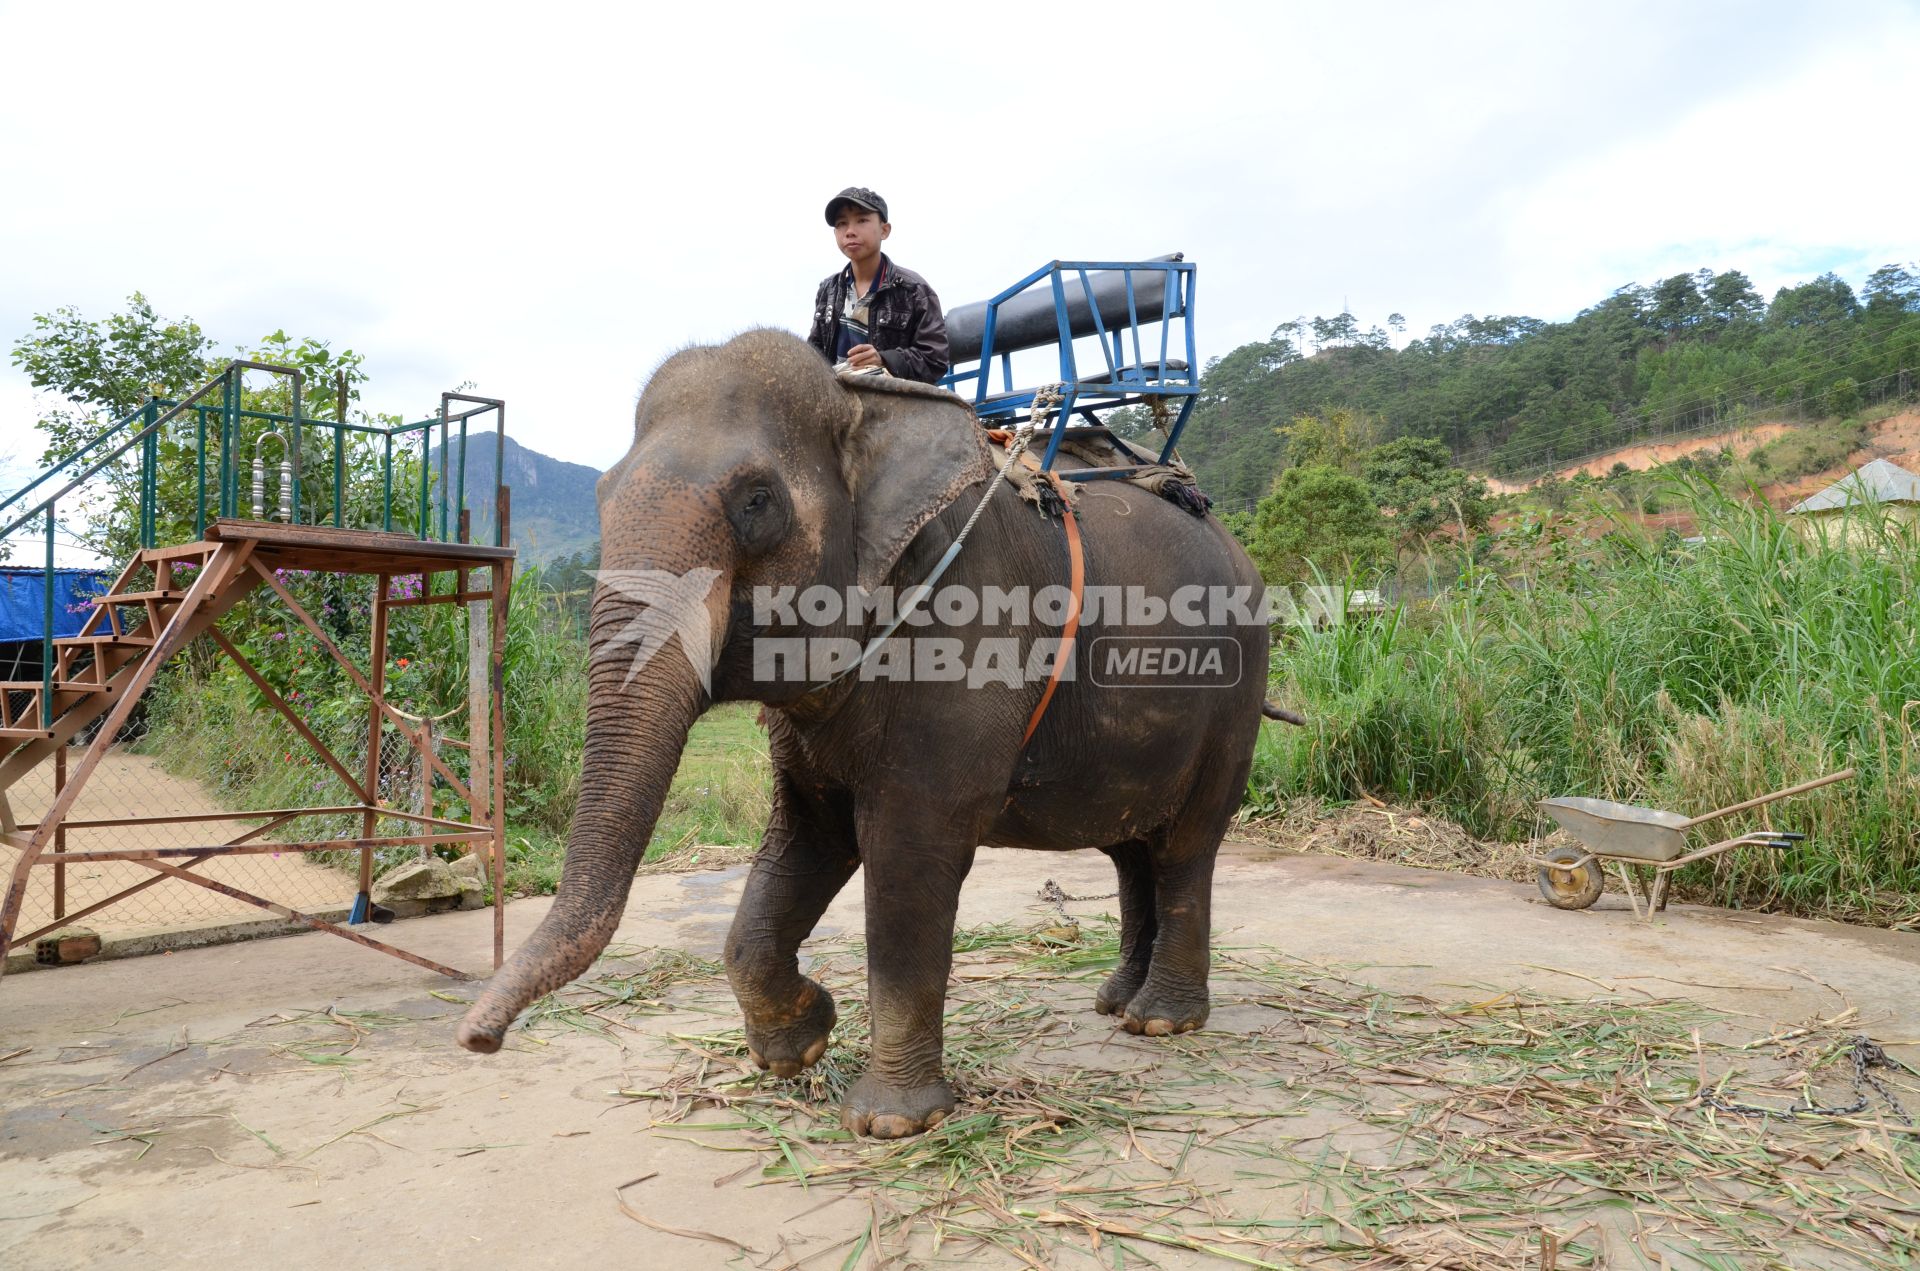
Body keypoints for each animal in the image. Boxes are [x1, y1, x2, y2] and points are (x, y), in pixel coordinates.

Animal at [453, 330, 1274, 1144]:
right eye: (601, 496)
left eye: (757, 501)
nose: (477, 1038)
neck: (861, 406)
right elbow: (808, 836)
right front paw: (801, 1045)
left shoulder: (967, 629)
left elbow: (911, 847)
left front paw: (890, 1121)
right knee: (1134, 848)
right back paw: (1115, 1003)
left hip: (1234, 695)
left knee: (1185, 846)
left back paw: (1161, 1021)